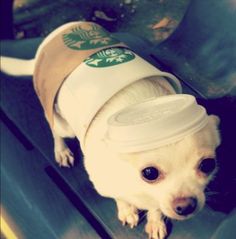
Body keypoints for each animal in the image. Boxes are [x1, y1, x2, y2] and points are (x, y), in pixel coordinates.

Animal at [0, 22, 221, 239]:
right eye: (149, 173)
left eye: (208, 165)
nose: (186, 206)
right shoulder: (104, 180)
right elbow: (120, 196)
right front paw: (127, 210)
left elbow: (156, 206)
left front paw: (155, 221)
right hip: (63, 123)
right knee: (55, 131)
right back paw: (61, 150)